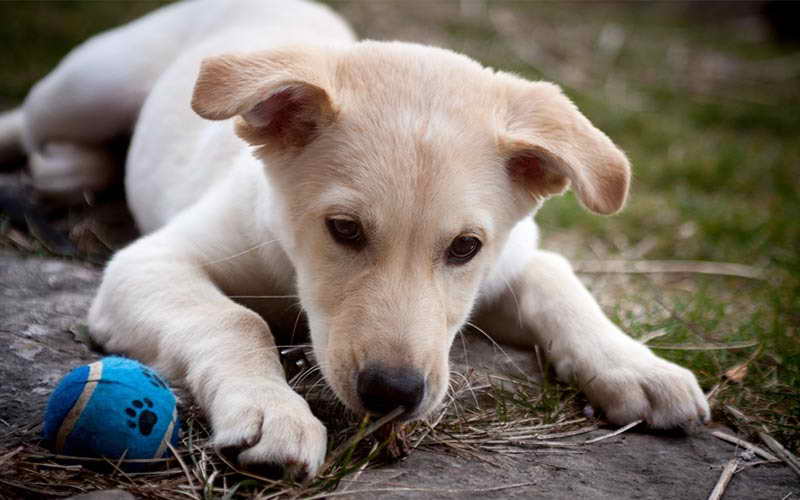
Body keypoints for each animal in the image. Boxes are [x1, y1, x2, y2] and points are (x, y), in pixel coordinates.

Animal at [3, 0, 708, 476]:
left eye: (465, 248)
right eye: (343, 230)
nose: (393, 396)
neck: (291, 267)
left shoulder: (515, 257)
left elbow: (560, 283)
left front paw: (636, 364)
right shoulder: (148, 262)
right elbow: (235, 320)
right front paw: (273, 409)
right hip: (90, 88)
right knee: (29, 119)